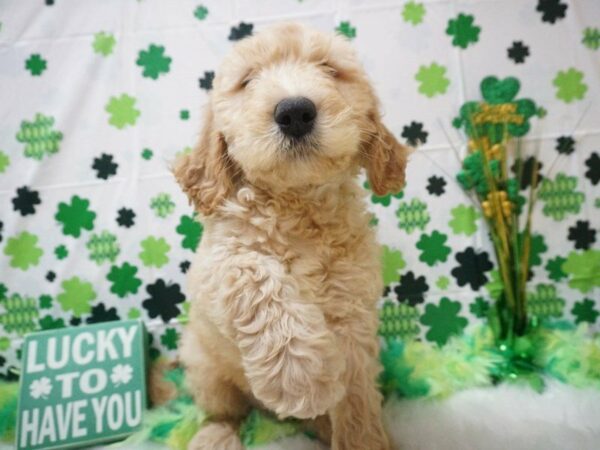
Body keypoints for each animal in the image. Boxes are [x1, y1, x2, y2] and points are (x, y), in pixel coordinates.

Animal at [173, 22, 408, 450]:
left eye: (330, 69)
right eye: (248, 80)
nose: (295, 112)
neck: (298, 203)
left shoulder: (353, 304)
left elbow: (357, 396)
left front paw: (363, 438)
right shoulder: (216, 263)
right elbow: (253, 275)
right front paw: (300, 378)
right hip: (204, 365)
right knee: (222, 411)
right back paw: (215, 435)